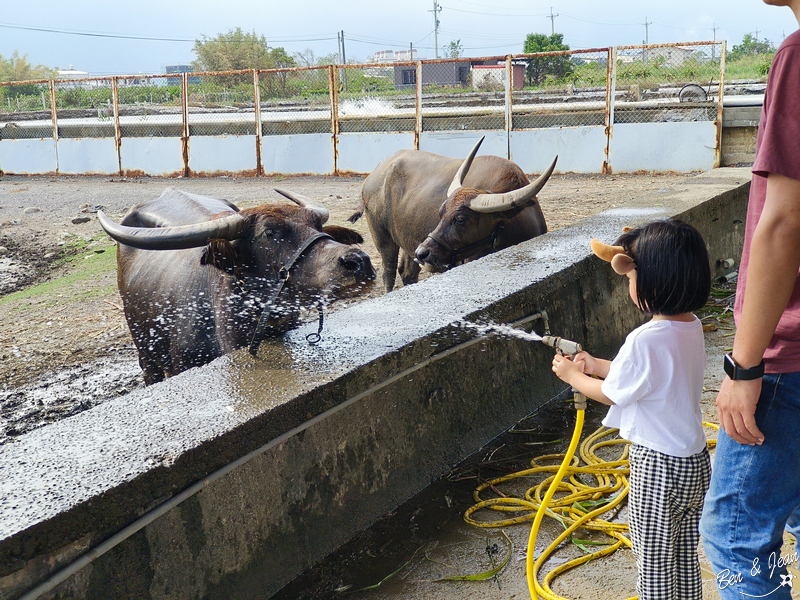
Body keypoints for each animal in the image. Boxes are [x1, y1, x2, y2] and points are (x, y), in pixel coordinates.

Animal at [350, 138, 556, 292]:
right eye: (441, 213)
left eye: (460, 219)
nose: (423, 253)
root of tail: (373, 176)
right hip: (383, 239)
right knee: (389, 272)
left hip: (407, 240)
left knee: (407, 272)